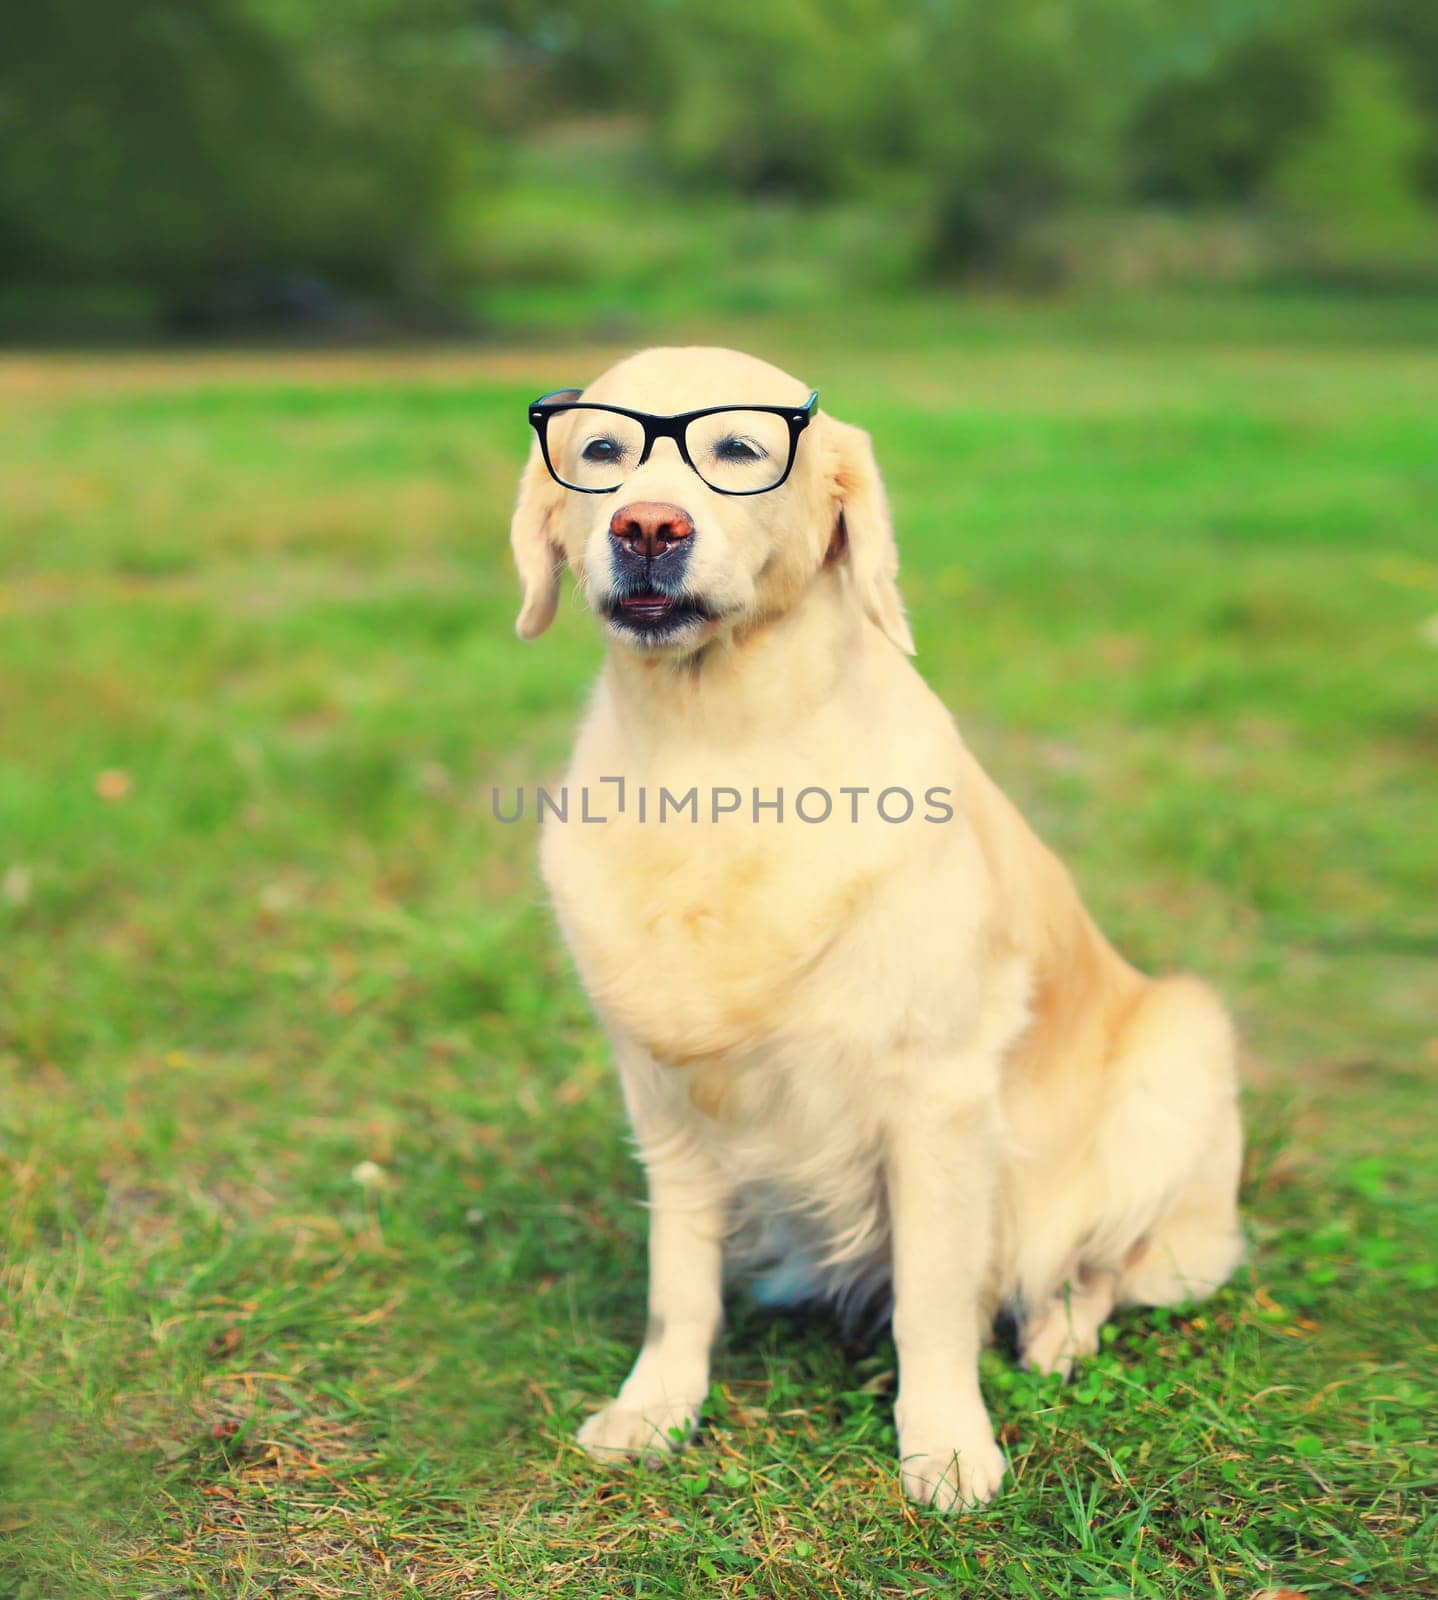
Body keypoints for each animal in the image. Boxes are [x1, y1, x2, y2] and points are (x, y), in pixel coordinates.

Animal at [511, 344, 1241, 1504]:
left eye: (739, 449)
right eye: (602, 451)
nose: (648, 528)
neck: (718, 759)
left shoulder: (936, 1095)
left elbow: (934, 1305)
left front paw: (944, 1445)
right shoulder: (664, 1096)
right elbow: (679, 1286)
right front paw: (655, 1407)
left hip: (1181, 1053)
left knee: (1098, 1262)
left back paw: (1057, 1332)